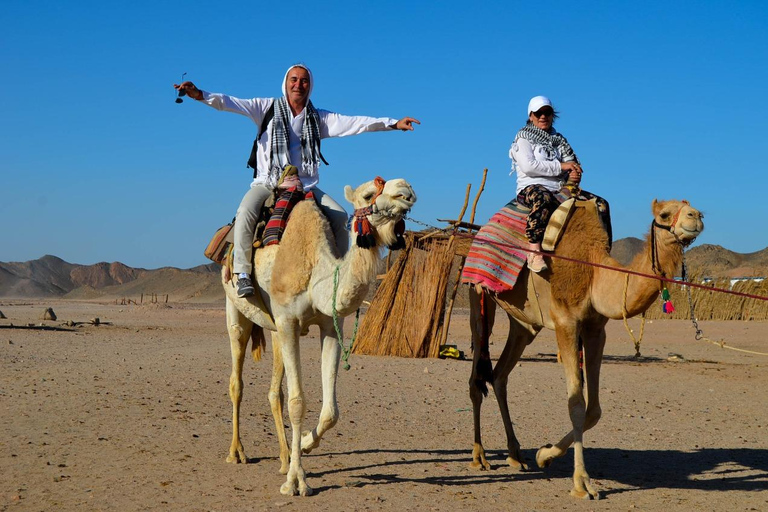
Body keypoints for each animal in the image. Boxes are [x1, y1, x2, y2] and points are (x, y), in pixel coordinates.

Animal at [219, 177, 416, 496]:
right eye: (368, 195)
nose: (406, 190)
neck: (315, 272)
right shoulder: (288, 321)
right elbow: (298, 402)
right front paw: (297, 482)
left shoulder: (329, 326)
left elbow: (330, 411)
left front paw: (305, 445)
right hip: (235, 307)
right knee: (237, 378)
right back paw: (237, 453)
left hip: (274, 329)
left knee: (275, 392)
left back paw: (284, 457)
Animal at [468, 198, 704, 498]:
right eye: (664, 214)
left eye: (692, 209)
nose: (696, 216)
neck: (594, 271)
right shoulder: (566, 322)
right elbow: (576, 404)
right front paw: (581, 482)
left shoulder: (595, 329)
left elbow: (594, 410)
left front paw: (544, 455)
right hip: (479, 298)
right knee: (477, 377)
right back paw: (479, 456)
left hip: (523, 323)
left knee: (499, 375)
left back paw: (515, 455)